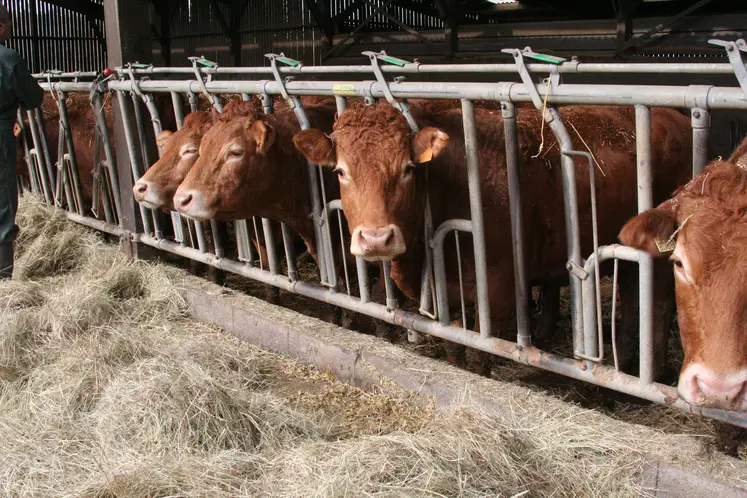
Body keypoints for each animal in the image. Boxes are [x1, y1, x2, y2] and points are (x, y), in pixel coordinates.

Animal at [296, 103, 692, 376]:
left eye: (408, 169)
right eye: (340, 171)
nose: (377, 239)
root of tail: (673, 116)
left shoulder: (498, 293)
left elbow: (477, 355)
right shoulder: (447, 291)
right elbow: (454, 344)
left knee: (657, 306)